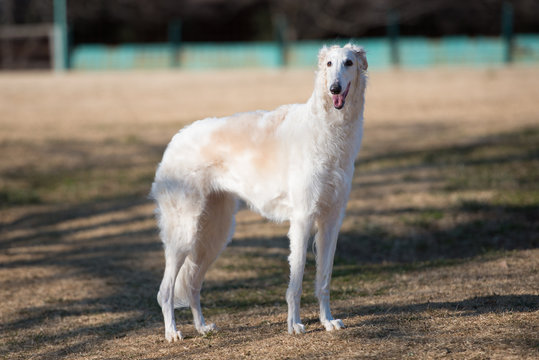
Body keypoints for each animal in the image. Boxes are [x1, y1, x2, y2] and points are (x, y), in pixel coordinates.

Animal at [154, 43, 370, 342]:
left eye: (348, 63)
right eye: (329, 64)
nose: (334, 89)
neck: (325, 127)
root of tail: (175, 140)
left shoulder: (331, 220)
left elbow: (323, 280)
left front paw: (327, 321)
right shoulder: (303, 218)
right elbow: (296, 282)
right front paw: (295, 324)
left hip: (214, 235)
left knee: (193, 285)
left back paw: (202, 327)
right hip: (184, 233)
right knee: (165, 291)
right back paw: (172, 332)